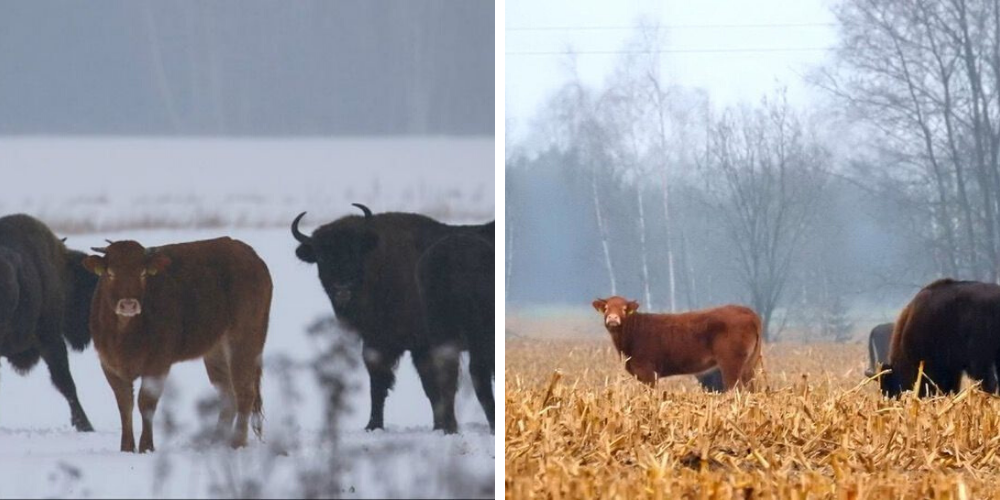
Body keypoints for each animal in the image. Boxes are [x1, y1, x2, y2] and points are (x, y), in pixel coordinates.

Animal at [83, 238, 272, 454]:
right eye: (111, 273)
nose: (129, 304)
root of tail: (248, 253)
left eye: (142, 273)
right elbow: (125, 404)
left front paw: (146, 447)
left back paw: (236, 443)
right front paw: (126, 448)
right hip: (216, 351)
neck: (124, 335)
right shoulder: (109, 364)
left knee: (245, 392)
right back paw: (216, 442)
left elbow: (145, 402)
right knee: (228, 396)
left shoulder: (158, 363)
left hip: (245, 339)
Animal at [292, 203, 496, 434]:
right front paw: (373, 426)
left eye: (355, 253)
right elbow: (381, 385)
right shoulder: (378, 344)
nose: (342, 289)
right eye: (322, 257)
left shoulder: (420, 347)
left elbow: (426, 386)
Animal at [588, 296, 760, 390]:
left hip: (731, 362)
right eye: (606, 308)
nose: (613, 319)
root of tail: (748, 312)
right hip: (749, 365)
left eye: (624, 309)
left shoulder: (648, 371)